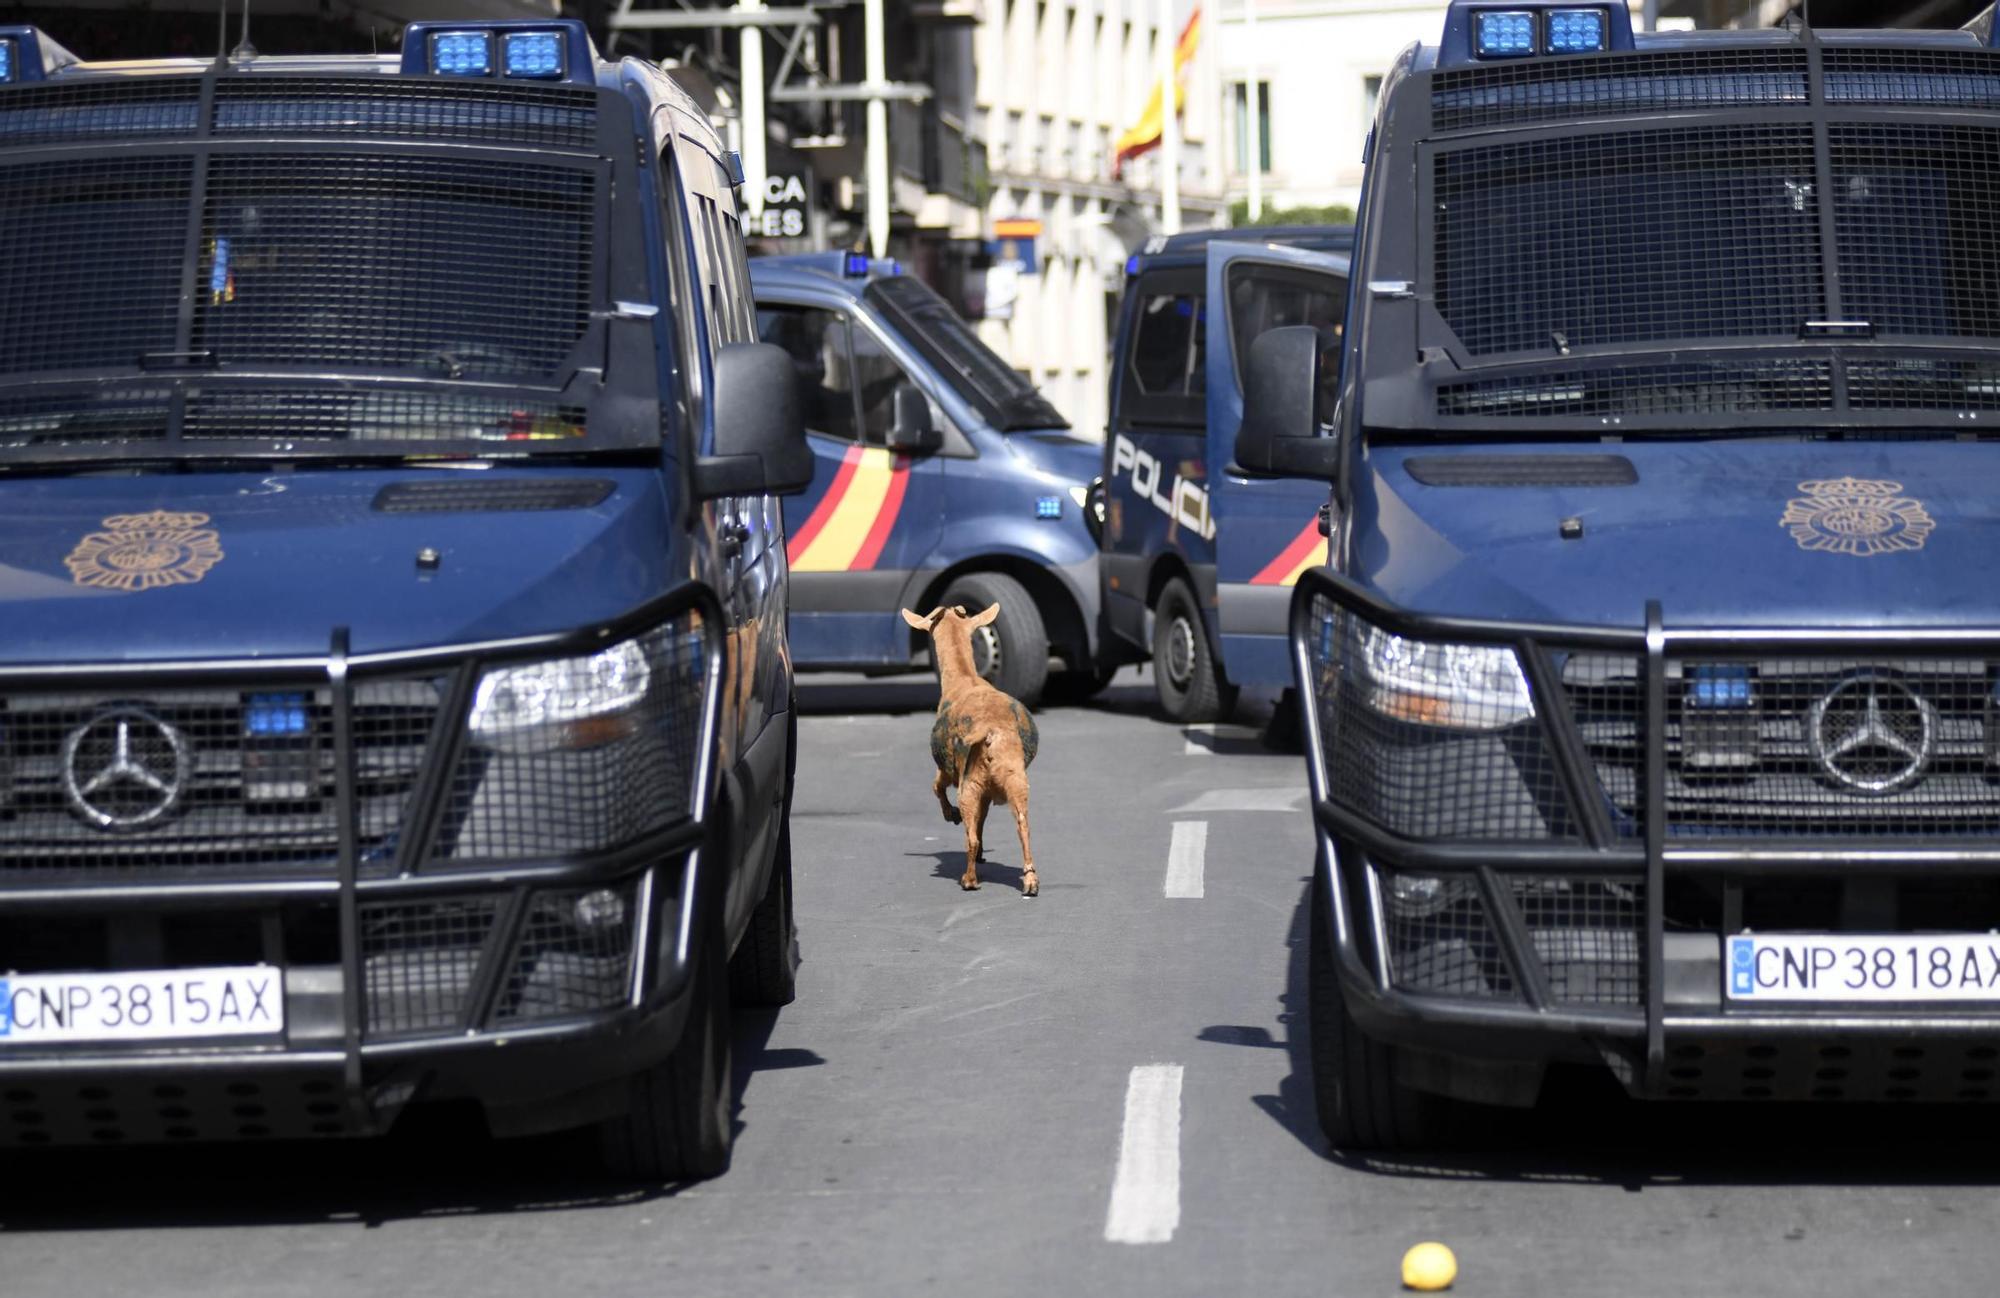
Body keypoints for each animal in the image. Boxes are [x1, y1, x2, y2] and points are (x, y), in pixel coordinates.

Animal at [900, 604, 1040, 892]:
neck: (965, 677)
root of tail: (992, 733)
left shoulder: (949, 770)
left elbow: (936, 787)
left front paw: (950, 814)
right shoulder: (985, 793)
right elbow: (982, 820)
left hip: (969, 783)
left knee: (970, 836)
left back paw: (969, 880)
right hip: (1015, 778)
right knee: (1023, 826)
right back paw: (1030, 881)